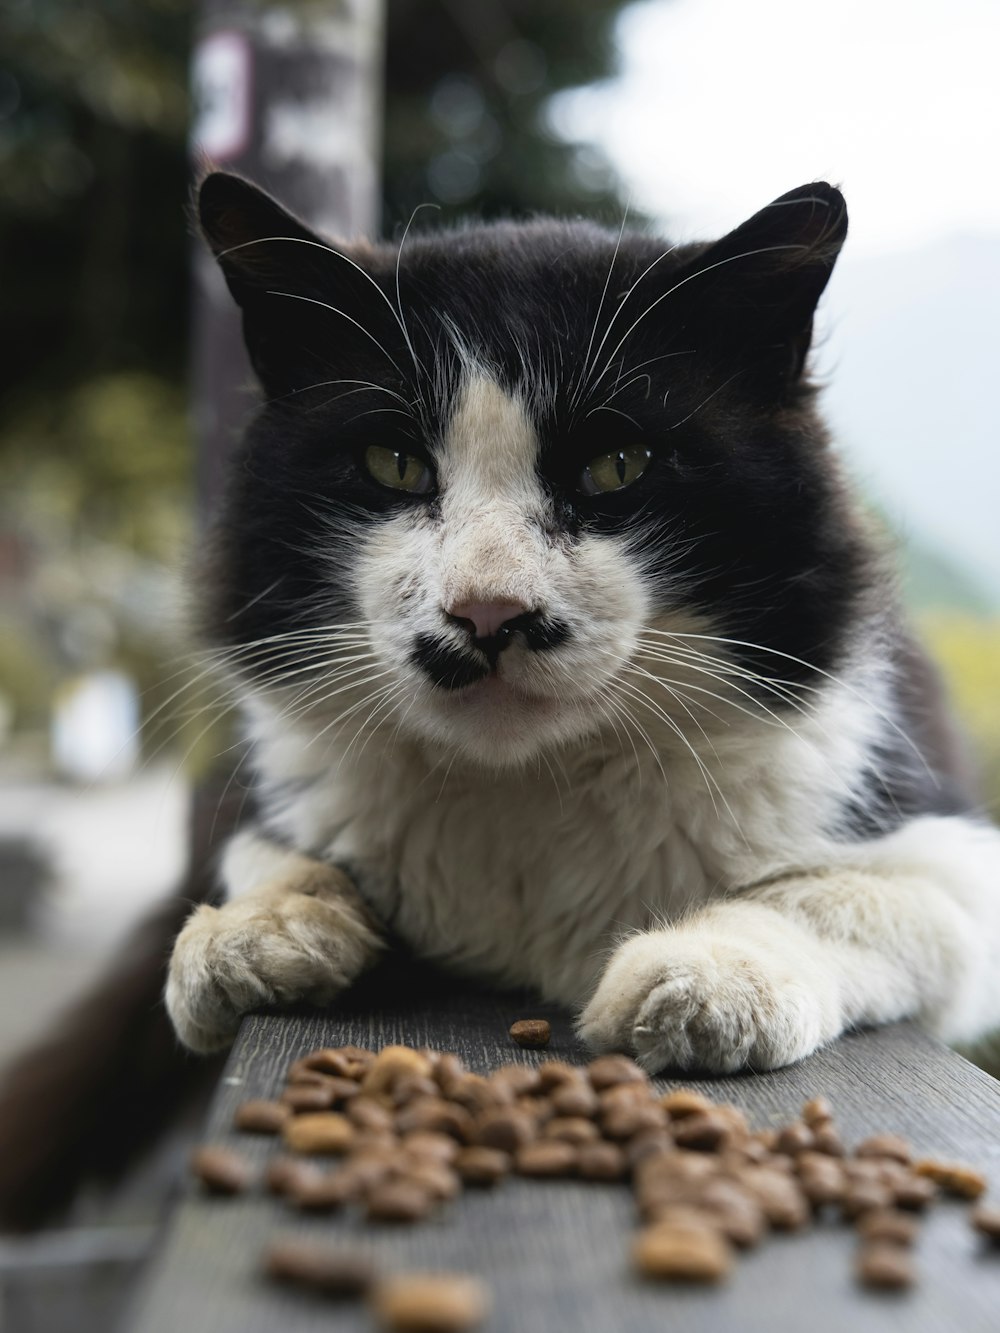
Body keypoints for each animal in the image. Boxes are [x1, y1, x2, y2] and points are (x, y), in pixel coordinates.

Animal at [162, 171, 1000, 1077]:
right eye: (394, 463)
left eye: (617, 466)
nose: (488, 610)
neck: (529, 790)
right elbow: (266, 857)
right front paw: (257, 930)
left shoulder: (956, 867)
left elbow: (821, 895)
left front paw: (705, 973)